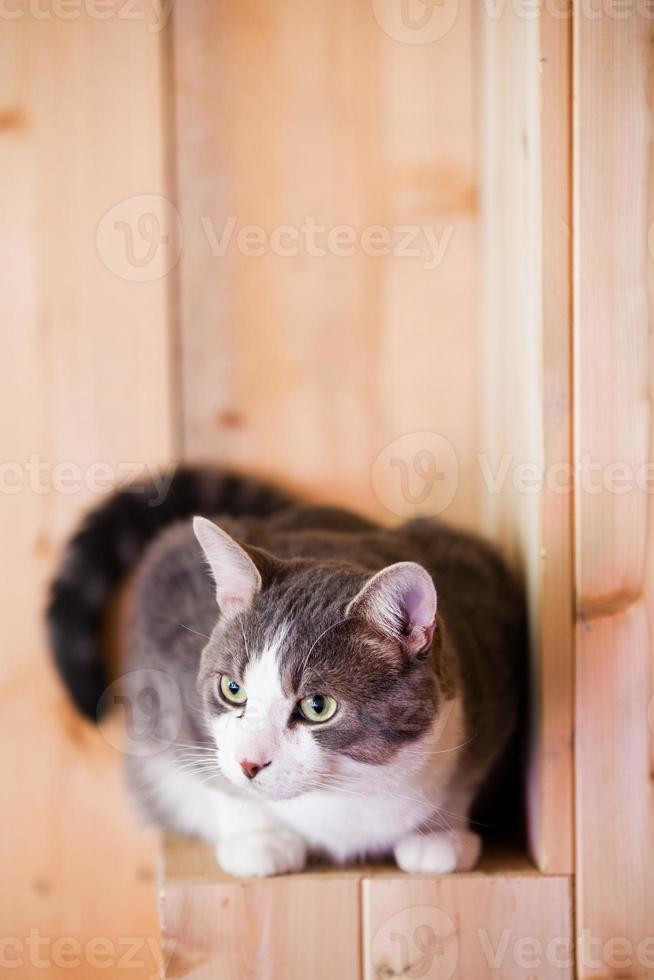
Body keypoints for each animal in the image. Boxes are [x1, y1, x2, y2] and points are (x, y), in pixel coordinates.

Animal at [47, 468, 528, 880]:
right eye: (232, 689)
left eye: (318, 706)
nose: (249, 763)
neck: (346, 795)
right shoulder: (166, 650)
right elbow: (211, 771)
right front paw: (258, 838)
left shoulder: (492, 665)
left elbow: (467, 778)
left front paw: (438, 835)